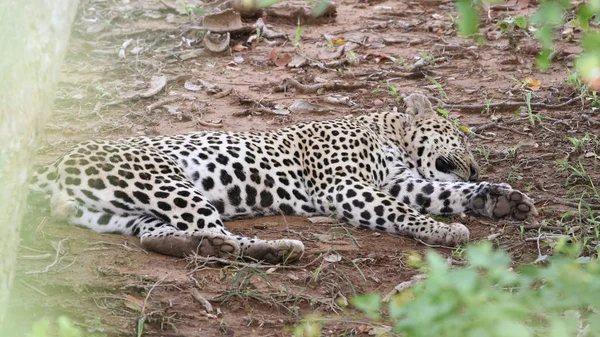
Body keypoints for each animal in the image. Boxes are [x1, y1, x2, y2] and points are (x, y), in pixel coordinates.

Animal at [28, 94, 536, 262]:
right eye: (461, 138)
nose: (477, 166)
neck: (385, 133)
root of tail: (55, 164)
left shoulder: (400, 181)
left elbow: (443, 192)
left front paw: (499, 198)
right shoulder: (346, 187)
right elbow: (402, 211)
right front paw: (443, 230)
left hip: (122, 212)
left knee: (170, 237)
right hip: (165, 181)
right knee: (219, 234)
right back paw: (280, 249)